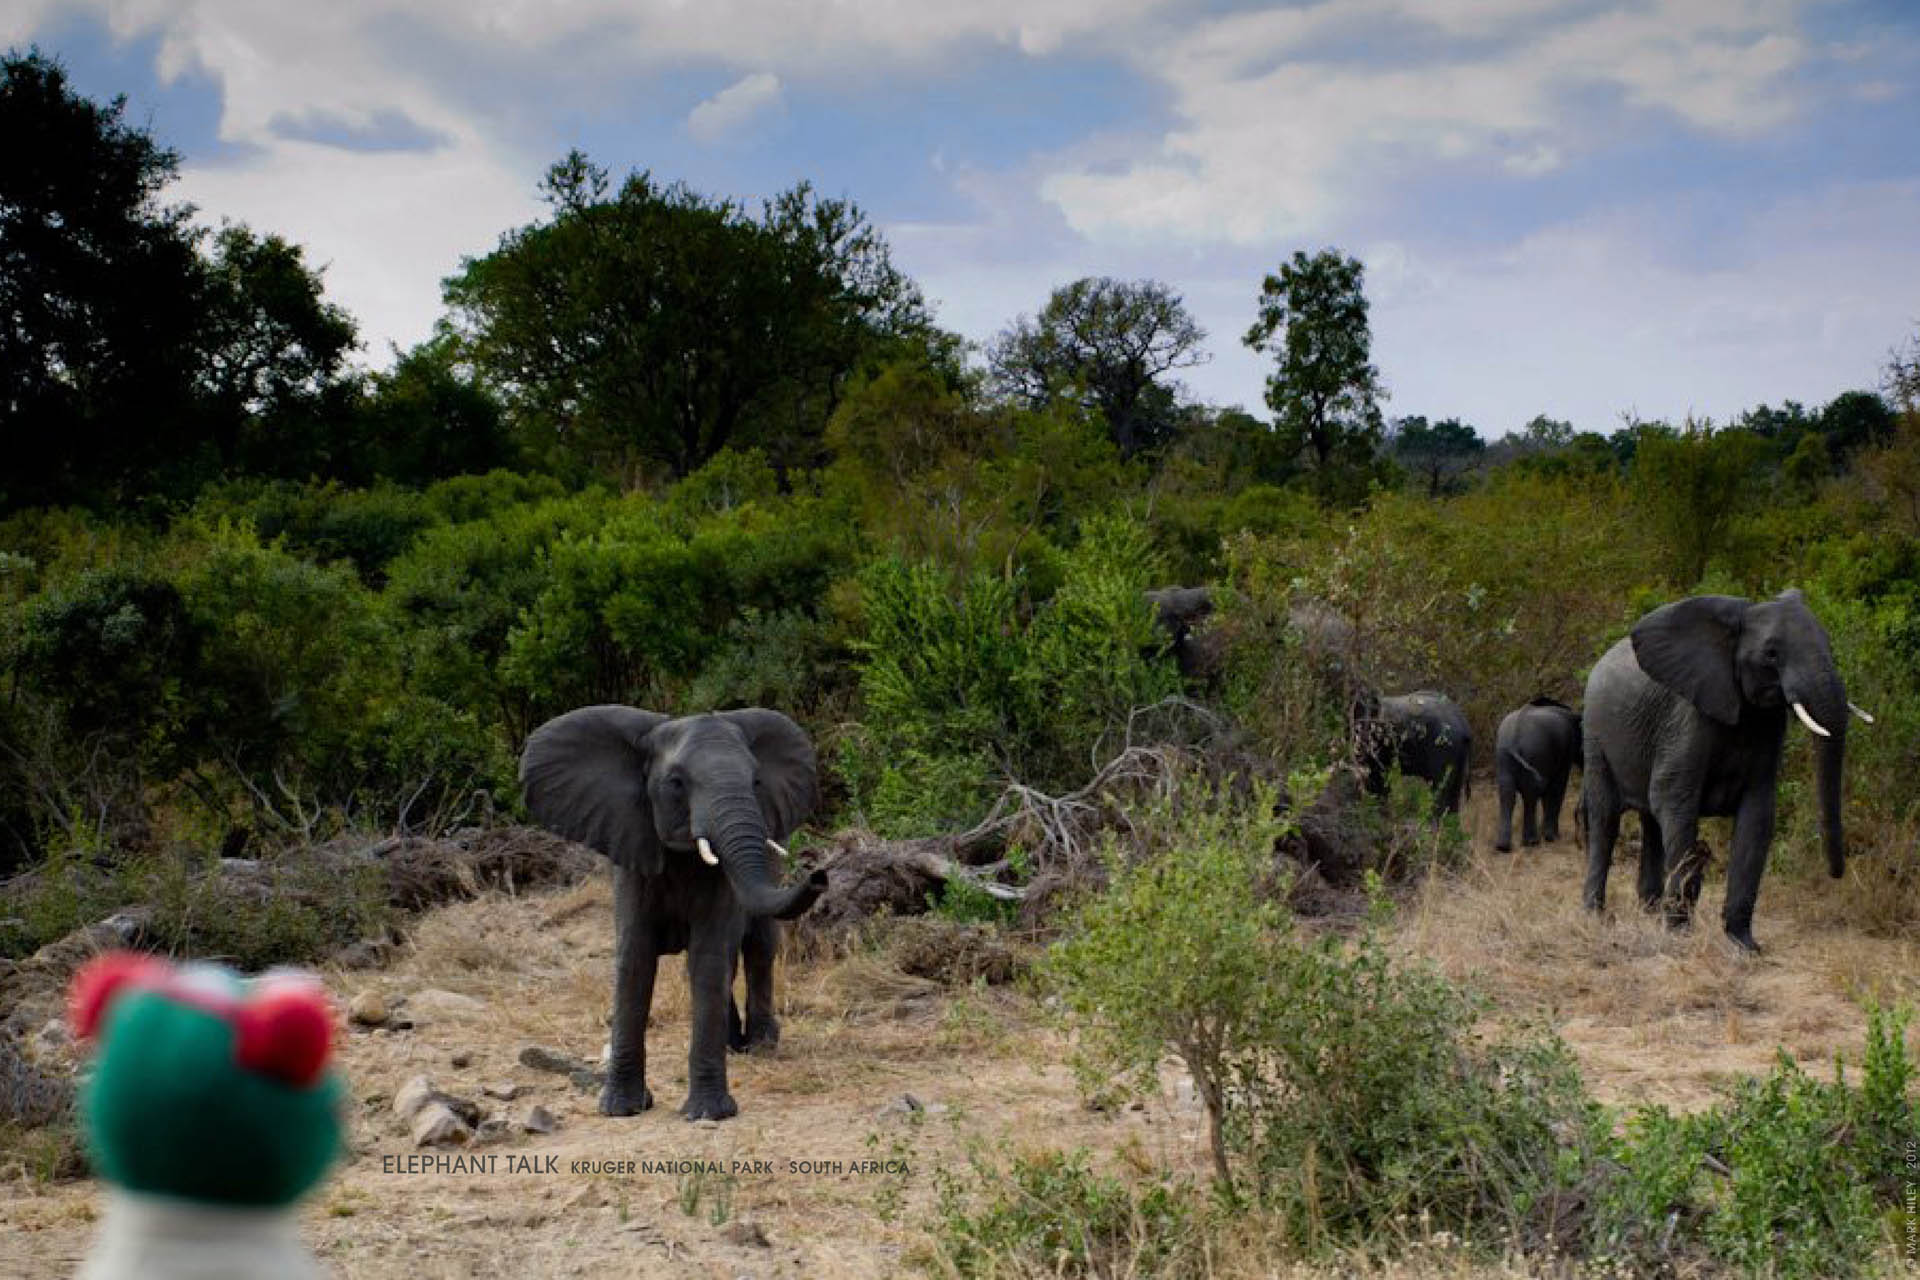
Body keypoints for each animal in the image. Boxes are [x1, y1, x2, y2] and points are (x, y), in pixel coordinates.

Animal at [518, 706, 828, 1121]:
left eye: (756, 780)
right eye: (676, 783)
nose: (819, 874)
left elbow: (708, 958)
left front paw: (708, 1114)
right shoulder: (631, 853)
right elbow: (634, 959)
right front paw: (621, 1109)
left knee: (759, 945)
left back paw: (761, 1045)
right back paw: (734, 1043)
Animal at [1493, 698, 1582, 851]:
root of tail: (1515, 734)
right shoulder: (1565, 751)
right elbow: (1557, 788)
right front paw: (1553, 837)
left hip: (1503, 756)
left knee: (1507, 794)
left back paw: (1503, 847)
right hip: (1535, 752)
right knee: (1530, 794)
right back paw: (1532, 842)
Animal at [1579, 590, 1868, 952]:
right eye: (1771, 654)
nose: (1837, 874)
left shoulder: (1767, 725)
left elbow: (1757, 816)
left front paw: (1745, 946)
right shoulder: (1687, 717)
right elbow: (1674, 799)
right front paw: (1679, 934)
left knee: (1651, 823)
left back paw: (1649, 912)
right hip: (1594, 733)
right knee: (1606, 819)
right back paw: (1596, 916)